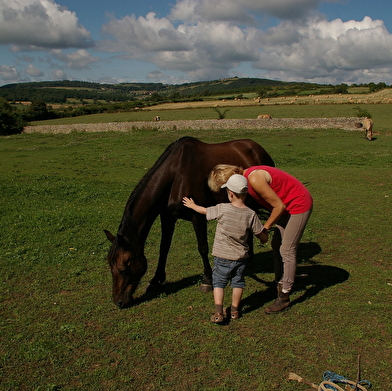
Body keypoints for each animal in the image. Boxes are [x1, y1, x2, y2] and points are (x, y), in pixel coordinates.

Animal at [105, 136, 274, 308]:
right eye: (110, 267)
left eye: (123, 269)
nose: (118, 301)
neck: (175, 174)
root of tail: (257, 148)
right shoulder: (167, 217)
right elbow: (164, 248)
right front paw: (156, 280)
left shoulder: (197, 216)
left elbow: (203, 247)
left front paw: (207, 281)